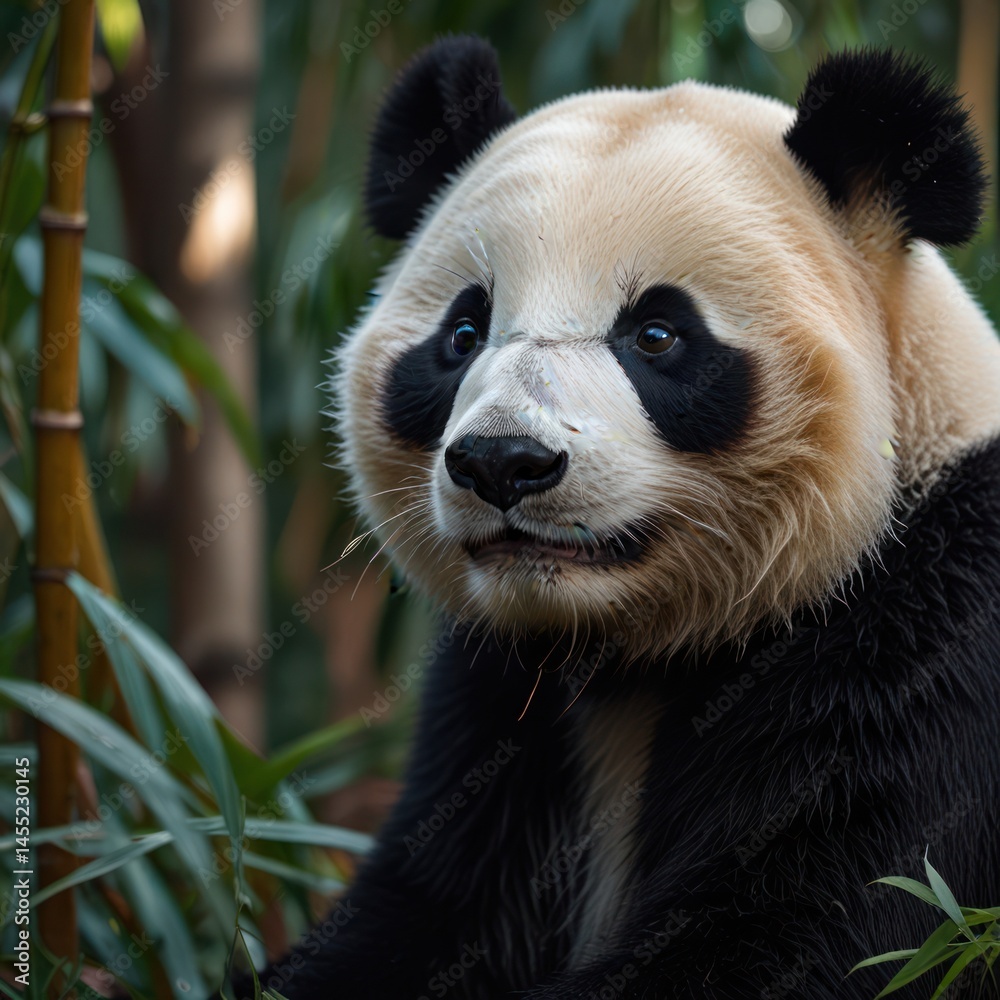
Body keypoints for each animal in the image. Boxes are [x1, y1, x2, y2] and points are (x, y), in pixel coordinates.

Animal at [246, 37, 1000, 1000]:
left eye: (657, 335)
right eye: (463, 332)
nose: (503, 463)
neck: (633, 655)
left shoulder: (930, 641)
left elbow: (822, 923)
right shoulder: (497, 709)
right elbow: (421, 916)